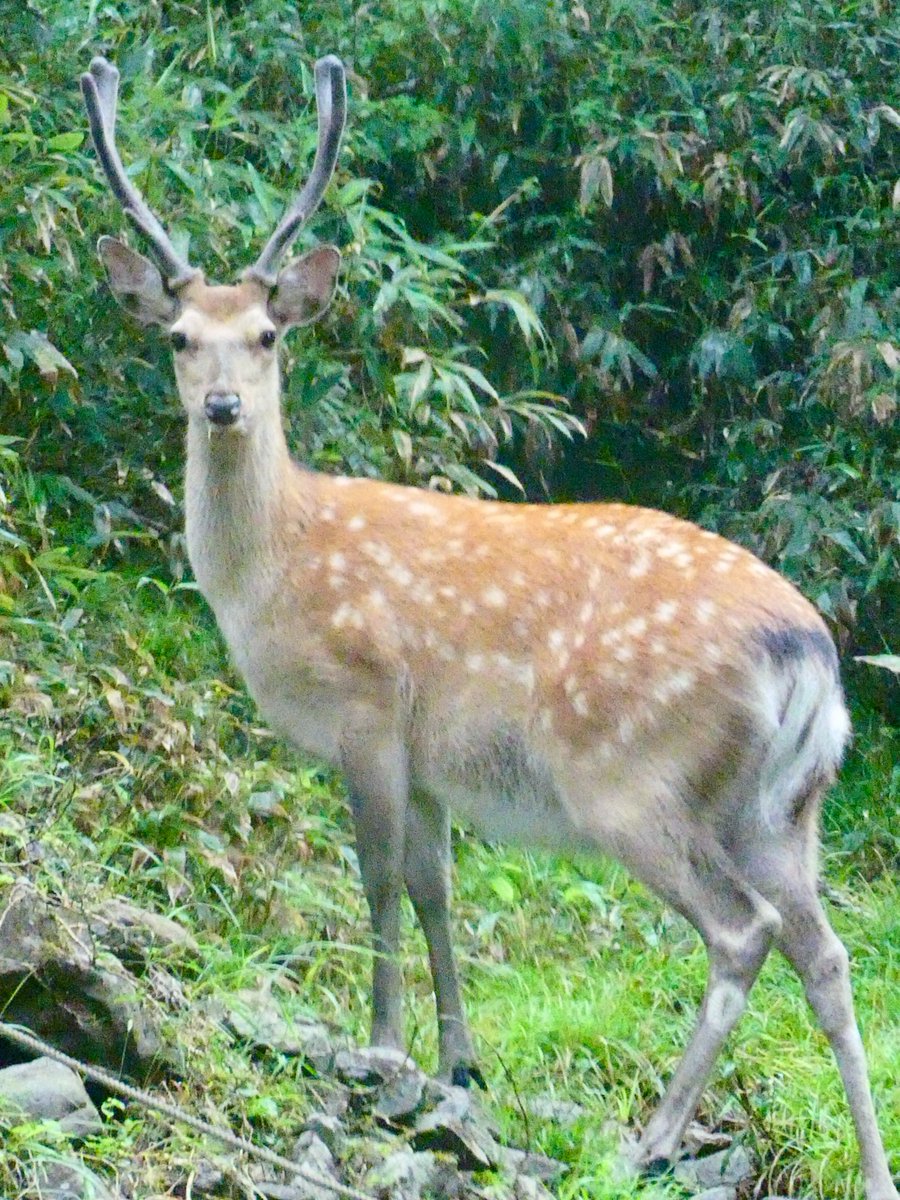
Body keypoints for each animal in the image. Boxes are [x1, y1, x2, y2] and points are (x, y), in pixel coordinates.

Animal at [80, 54, 897, 1198]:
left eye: (269, 337)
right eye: (179, 338)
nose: (224, 406)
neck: (279, 573)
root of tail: (812, 657)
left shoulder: (372, 703)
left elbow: (378, 882)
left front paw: (380, 1047)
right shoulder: (431, 760)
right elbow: (436, 891)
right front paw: (459, 1063)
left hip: (631, 775)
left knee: (745, 934)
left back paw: (650, 1137)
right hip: (785, 809)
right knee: (826, 953)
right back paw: (871, 1168)